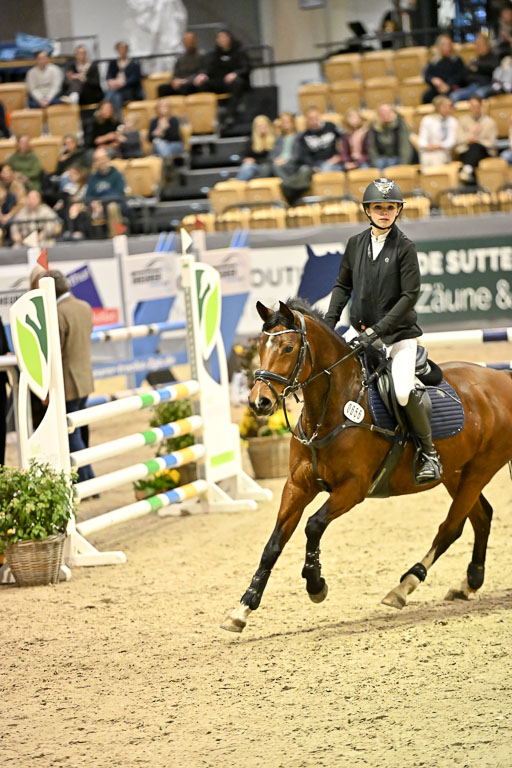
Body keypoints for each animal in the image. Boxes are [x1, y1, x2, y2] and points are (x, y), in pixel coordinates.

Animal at [221, 299, 512, 633]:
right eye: (260, 346)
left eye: (289, 347)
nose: (260, 403)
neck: (329, 410)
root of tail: (503, 379)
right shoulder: (297, 486)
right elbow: (273, 545)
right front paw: (242, 609)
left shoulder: (353, 489)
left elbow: (313, 525)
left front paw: (315, 584)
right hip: (456, 473)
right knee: (481, 517)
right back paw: (468, 582)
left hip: (481, 469)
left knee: (451, 526)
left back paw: (404, 587)